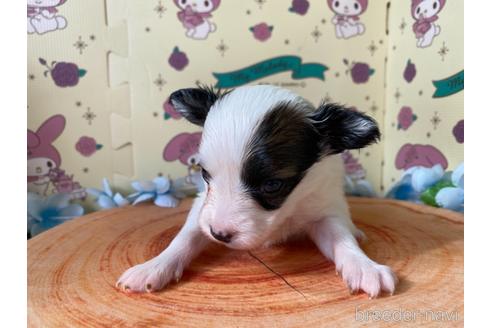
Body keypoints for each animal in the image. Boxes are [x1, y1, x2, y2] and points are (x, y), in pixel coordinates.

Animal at [117, 84, 398, 298]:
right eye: (205, 174)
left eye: (272, 185)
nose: (218, 234)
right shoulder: (203, 208)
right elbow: (185, 237)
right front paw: (154, 266)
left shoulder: (323, 209)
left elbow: (341, 239)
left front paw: (364, 266)